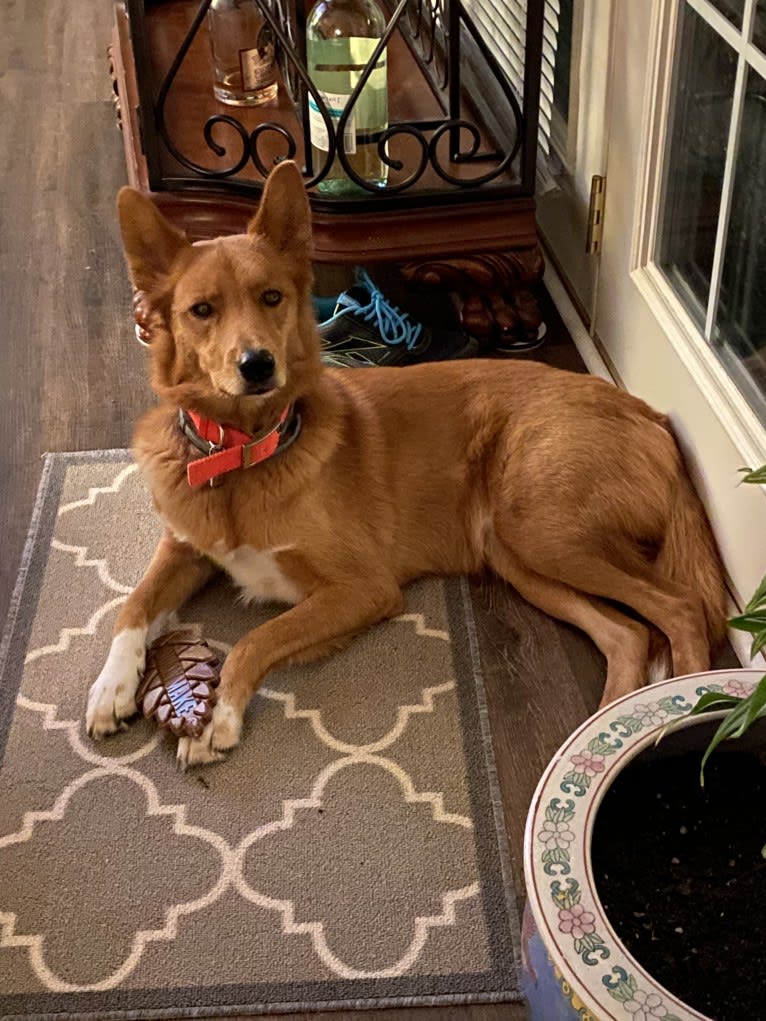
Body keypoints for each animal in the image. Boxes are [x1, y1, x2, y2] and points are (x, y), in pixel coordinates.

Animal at [86, 161, 727, 767]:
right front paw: (111, 687)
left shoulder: (364, 589)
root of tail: (647, 412)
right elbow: (132, 604)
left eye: (272, 297)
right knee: (628, 635)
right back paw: (601, 729)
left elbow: (257, 638)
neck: (243, 452)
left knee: (681, 607)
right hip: (519, 555)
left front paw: (217, 714)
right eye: (202, 310)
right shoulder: (184, 548)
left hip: (544, 531)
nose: (258, 365)